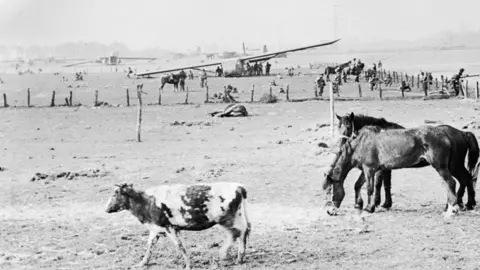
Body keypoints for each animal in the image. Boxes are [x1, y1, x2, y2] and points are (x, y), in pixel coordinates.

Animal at [104, 182, 251, 268]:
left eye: (115, 194)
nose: (106, 209)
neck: (146, 201)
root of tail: (238, 187)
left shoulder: (169, 228)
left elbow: (180, 246)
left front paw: (188, 265)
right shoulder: (156, 228)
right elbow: (150, 246)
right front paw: (141, 263)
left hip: (228, 219)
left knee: (239, 233)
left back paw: (231, 255)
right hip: (232, 218)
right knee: (240, 232)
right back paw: (233, 257)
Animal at [324, 125, 478, 218]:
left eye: (330, 191)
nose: (329, 211)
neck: (361, 143)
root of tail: (446, 134)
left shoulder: (369, 169)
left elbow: (370, 188)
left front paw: (369, 208)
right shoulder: (366, 170)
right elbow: (357, 185)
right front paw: (359, 205)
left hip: (442, 167)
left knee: (451, 183)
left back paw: (451, 209)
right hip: (452, 166)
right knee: (462, 180)